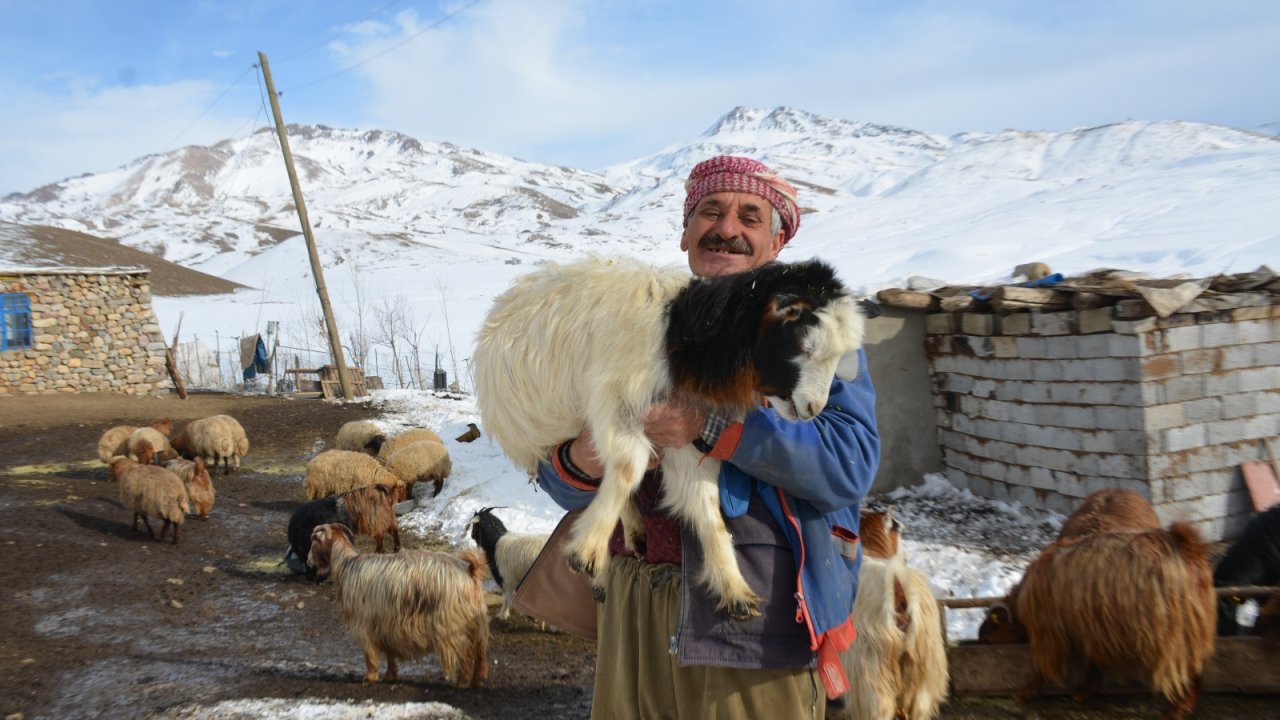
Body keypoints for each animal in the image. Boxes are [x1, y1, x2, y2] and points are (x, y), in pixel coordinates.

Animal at [307, 520, 491, 681]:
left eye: (313, 541)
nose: (309, 561)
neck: (347, 564)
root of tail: (470, 571)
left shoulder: (364, 624)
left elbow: (370, 653)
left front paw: (370, 677)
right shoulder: (385, 625)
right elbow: (389, 652)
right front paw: (390, 674)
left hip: (451, 625)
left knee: (466, 654)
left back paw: (462, 682)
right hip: (476, 621)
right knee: (480, 651)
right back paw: (479, 679)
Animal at [993, 520, 1213, 717]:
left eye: (995, 625)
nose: (985, 638)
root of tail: (1188, 547)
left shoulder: (1050, 633)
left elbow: (1042, 666)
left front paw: (1026, 692)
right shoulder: (1091, 628)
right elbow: (1093, 663)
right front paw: (1085, 691)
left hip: (1174, 634)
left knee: (1185, 671)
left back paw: (1176, 710)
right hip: (1191, 630)